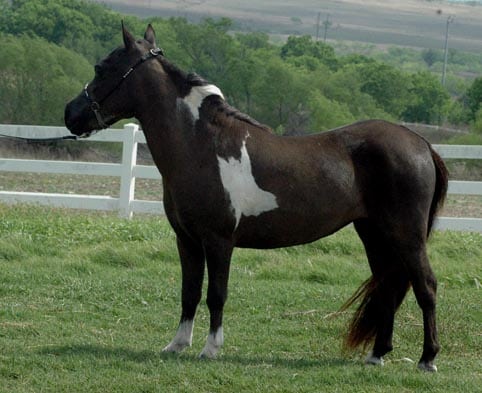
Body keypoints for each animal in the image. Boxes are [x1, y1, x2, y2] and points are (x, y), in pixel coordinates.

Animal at [64, 24, 448, 370]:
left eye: (103, 67)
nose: (70, 114)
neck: (201, 145)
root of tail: (421, 144)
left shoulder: (218, 241)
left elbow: (216, 294)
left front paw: (210, 349)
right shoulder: (186, 240)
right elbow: (189, 292)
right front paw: (177, 345)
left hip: (407, 237)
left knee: (425, 287)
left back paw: (427, 359)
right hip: (375, 235)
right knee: (388, 288)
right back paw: (376, 355)